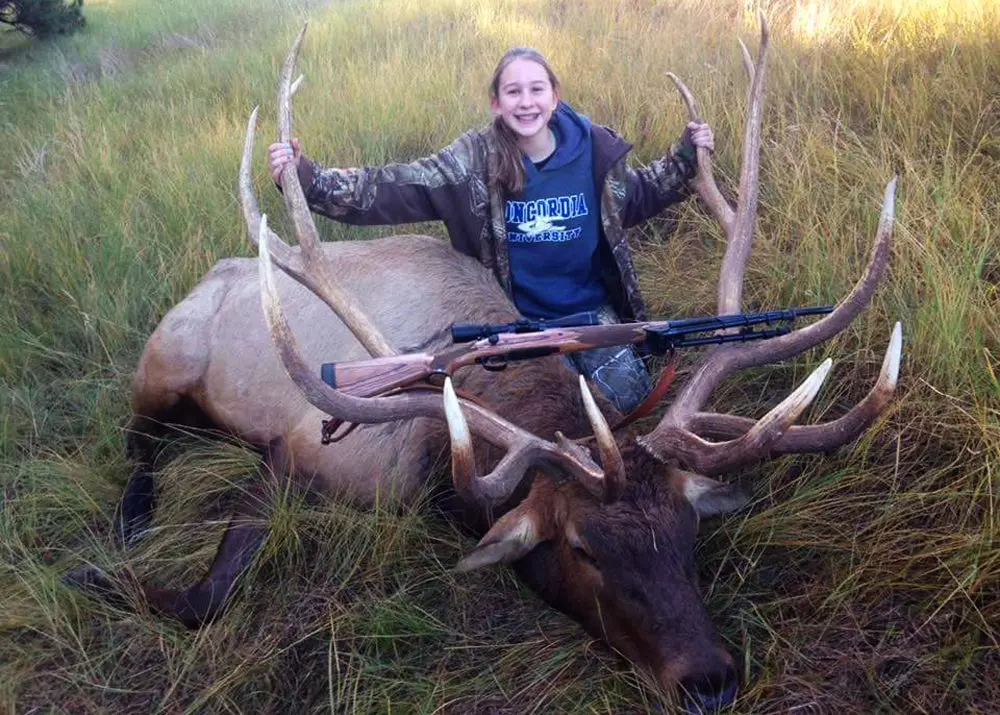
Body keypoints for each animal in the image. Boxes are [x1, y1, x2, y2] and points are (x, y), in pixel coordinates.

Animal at [66, 19, 904, 712]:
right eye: (582, 548)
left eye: (688, 528)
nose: (709, 679)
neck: (440, 452)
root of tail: (209, 273)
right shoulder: (304, 444)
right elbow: (207, 593)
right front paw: (96, 577)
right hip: (165, 357)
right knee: (137, 436)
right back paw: (131, 515)